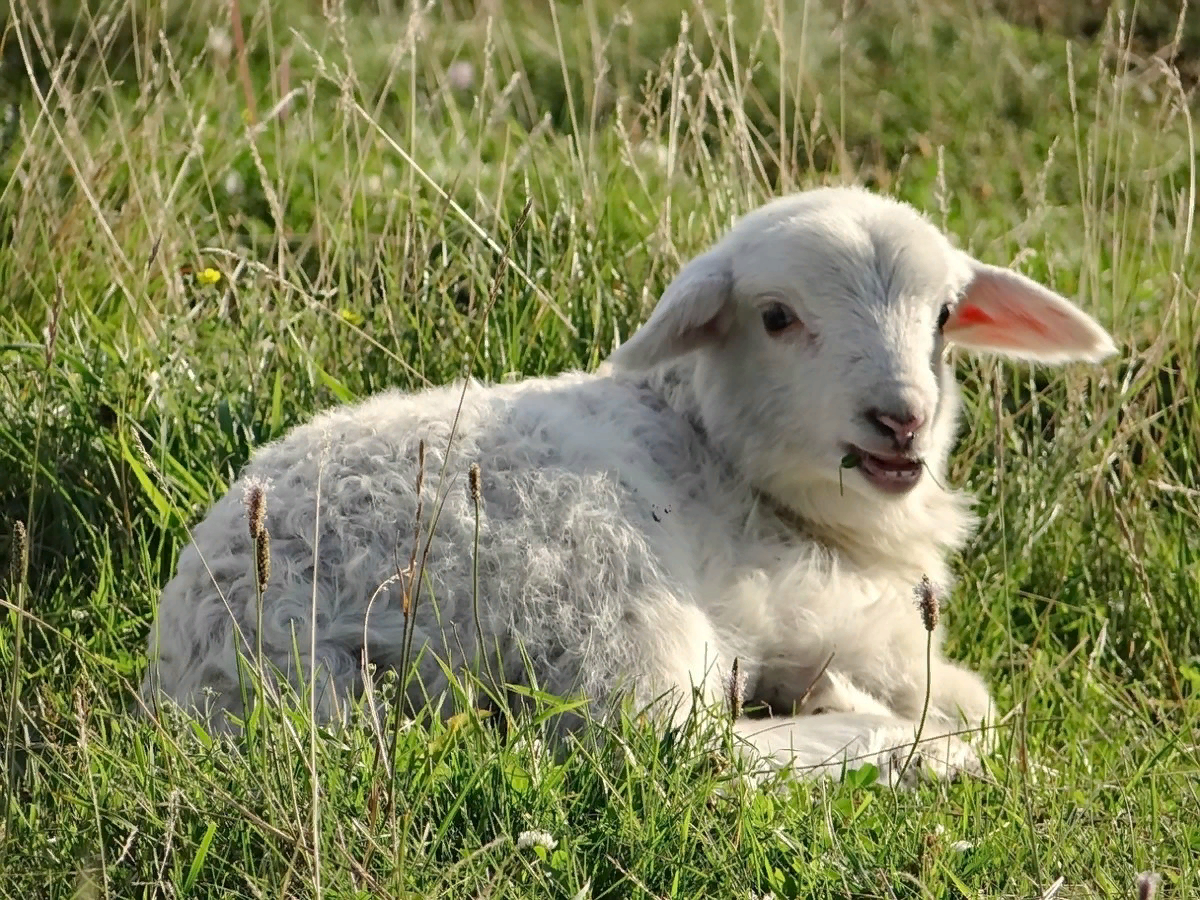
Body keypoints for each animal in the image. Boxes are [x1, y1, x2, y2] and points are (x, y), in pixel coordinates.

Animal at [142, 187, 1113, 787]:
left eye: (946, 315)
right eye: (776, 317)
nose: (902, 419)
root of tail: (245, 652)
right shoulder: (832, 615)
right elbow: (974, 699)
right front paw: (885, 712)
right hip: (605, 601)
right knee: (676, 754)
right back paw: (880, 737)